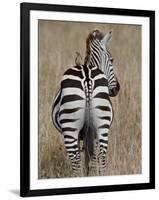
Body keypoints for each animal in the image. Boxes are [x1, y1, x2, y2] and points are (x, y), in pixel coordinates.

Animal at [51, 28, 120, 176]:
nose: (117, 89)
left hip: (71, 127)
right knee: (101, 157)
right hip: (101, 125)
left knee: (76, 161)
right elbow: (91, 160)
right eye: (112, 59)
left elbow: (87, 160)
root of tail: (87, 76)